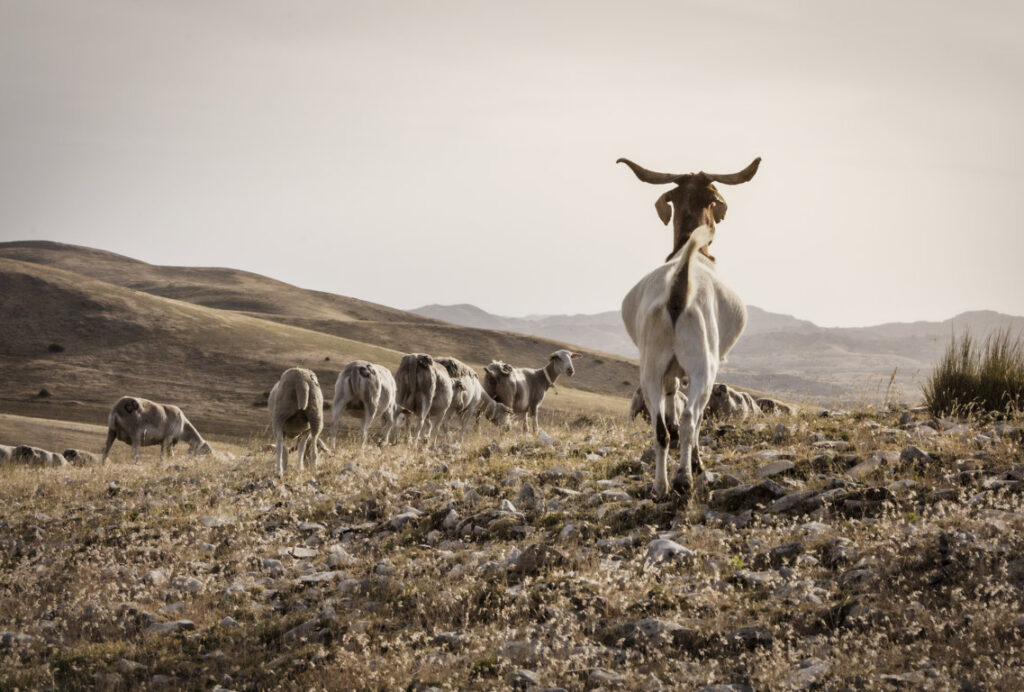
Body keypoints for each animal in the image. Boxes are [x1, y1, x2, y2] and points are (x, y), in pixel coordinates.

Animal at [619, 155, 760, 496]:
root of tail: (679, 286)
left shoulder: (669, 373)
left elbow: (668, 416)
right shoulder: (708, 368)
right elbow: (693, 423)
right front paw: (696, 465)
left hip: (650, 368)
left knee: (662, 429)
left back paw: (660, 486)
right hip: (702, 365)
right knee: (689, 420)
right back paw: (684, 477)